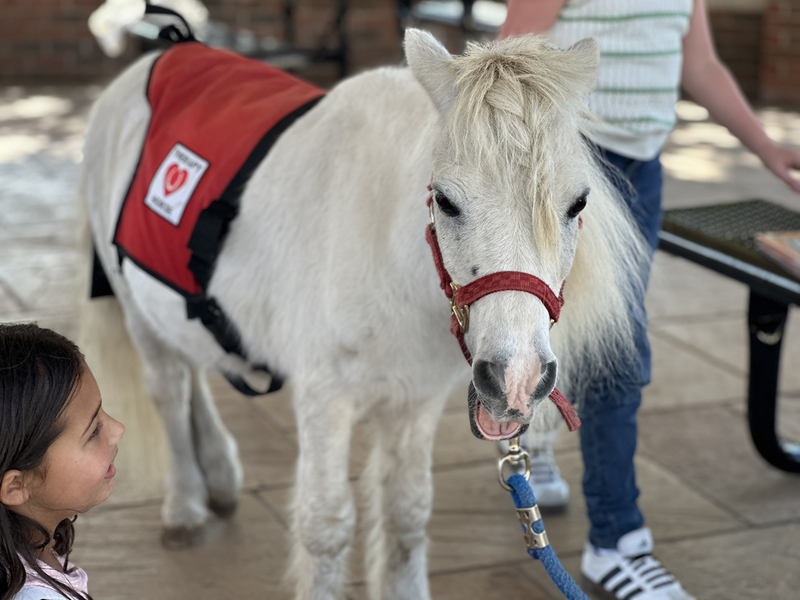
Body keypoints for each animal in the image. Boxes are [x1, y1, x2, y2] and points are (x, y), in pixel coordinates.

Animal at [80, 28, 648, 600]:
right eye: (445, 200)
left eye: (578, 203)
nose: (517, 376)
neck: (385, 249)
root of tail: (160, 50)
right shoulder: (323, 402)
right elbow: (325, 527)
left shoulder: (415, 403)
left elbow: (406, 516)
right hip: (135, 309)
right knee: (170, 390)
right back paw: (185, 507)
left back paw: (218, 475)